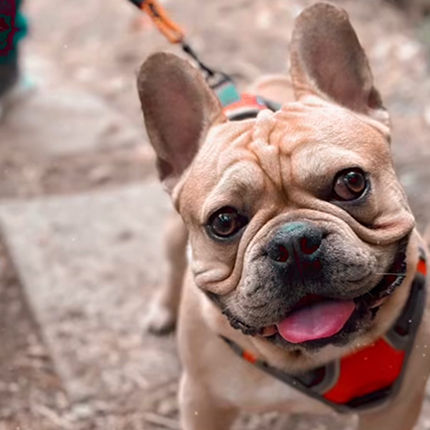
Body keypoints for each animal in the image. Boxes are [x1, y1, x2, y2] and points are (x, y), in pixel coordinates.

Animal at [137, 3, 430, 430]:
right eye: (223, 222)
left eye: (351, 182)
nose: (293, 241)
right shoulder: (202, 401)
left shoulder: (396, 408)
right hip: (173, 238)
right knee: (173, 265)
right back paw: (161, 311)